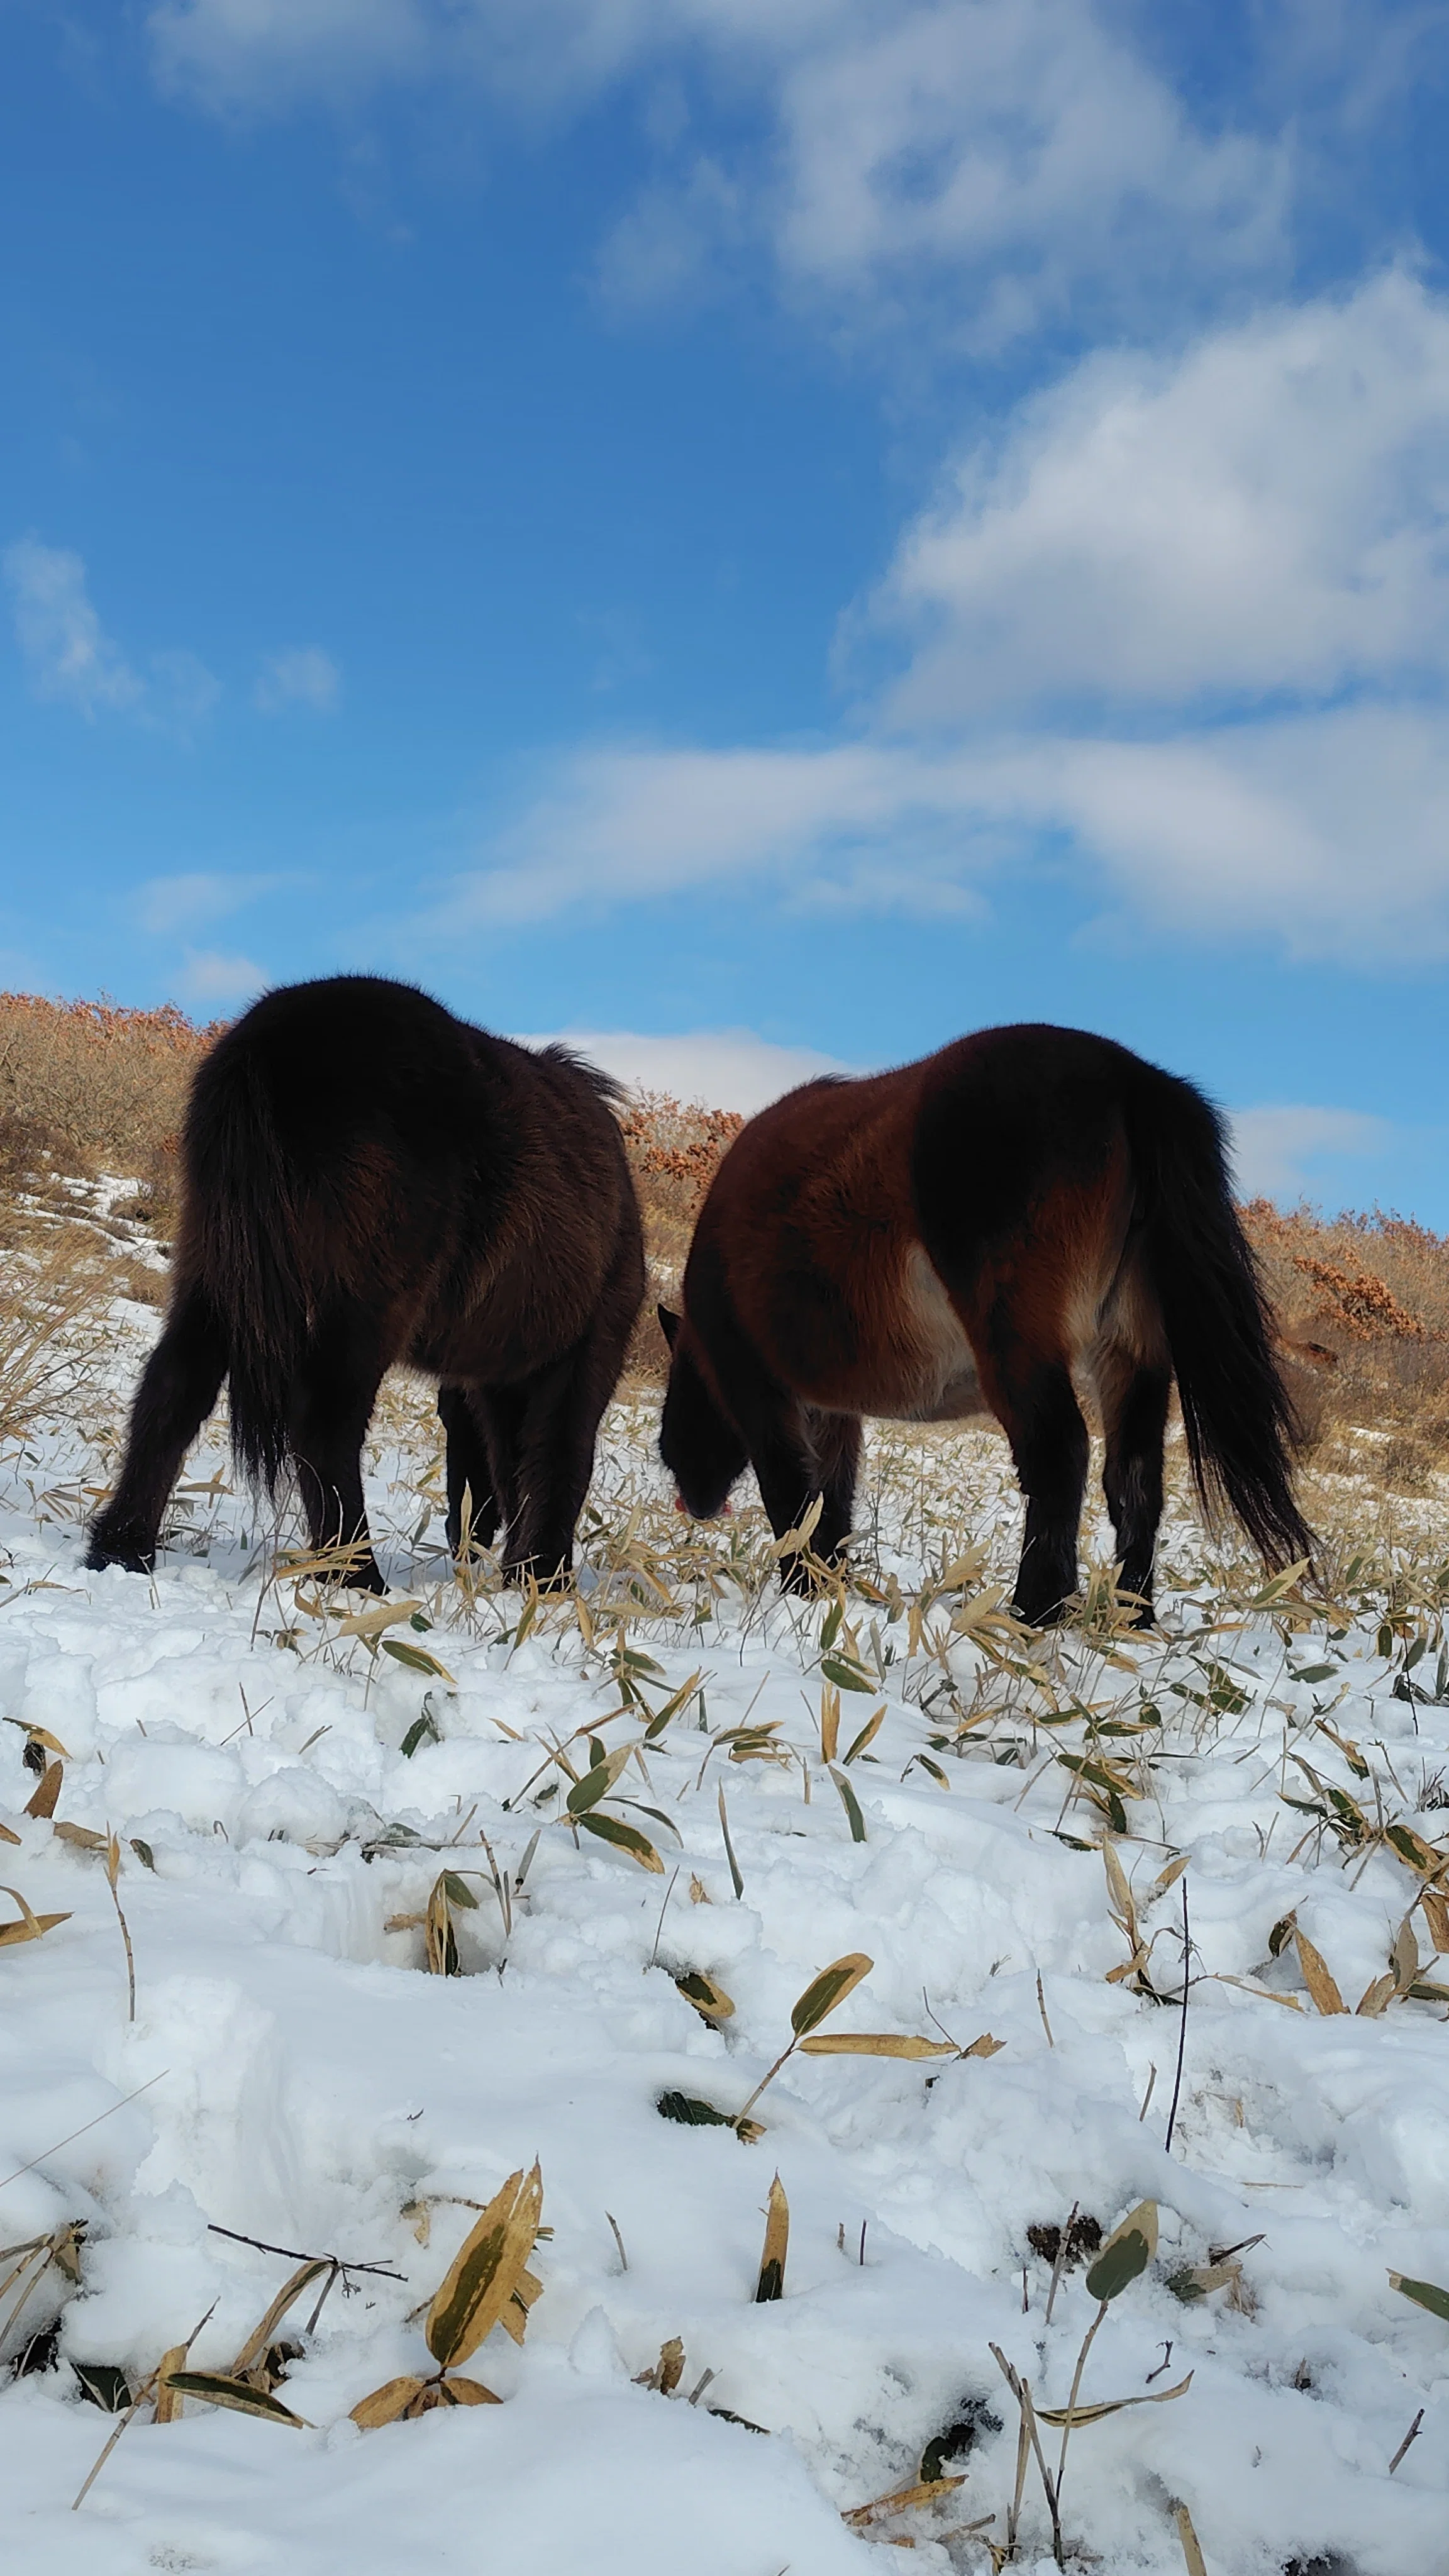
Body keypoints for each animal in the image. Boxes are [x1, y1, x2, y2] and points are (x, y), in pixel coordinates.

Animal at [87, 976, 645, 1594]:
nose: (462, 1537)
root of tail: (271, 1039)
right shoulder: (584, 1354)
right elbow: (559, 1456)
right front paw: (545, 1582)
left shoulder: (499, 1380)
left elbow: (519, 1462)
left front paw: (525, 1577)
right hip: (366, 1302)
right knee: (324, 1422)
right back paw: (355, 1575)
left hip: (215, 1271)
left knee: (173, 1388)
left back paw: (122, 1550)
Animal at [658, 1024, 1312, 1626]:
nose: (694, 1502)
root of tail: (1131, 1076)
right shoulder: (832, 1414)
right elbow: (832, 1503)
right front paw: (829, 1586)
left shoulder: (763, 1397)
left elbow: (792, 1497)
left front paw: (802, 1591)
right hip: (1131, 1354)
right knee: (1134, 1479)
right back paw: (1131, 1618)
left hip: (1021, 1345)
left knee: (1060, 1456)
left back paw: (1035, 1612)